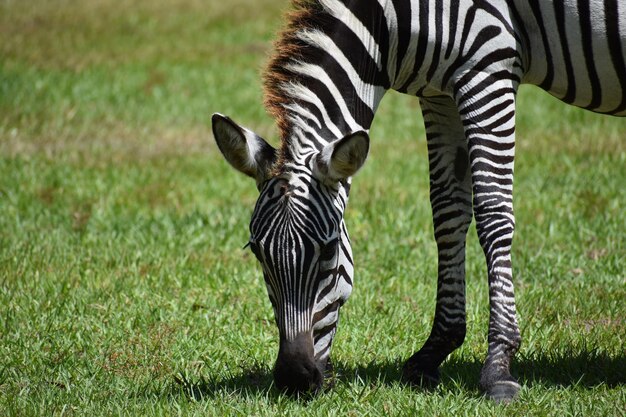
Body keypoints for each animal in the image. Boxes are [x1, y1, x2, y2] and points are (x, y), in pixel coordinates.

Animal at [211, 0, 624, 400]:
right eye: (257, 251)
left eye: (328, 251)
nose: (294, 379)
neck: (389, 22)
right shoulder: (440, 92)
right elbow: (448, 212)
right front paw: (434, 351)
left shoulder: (488, 66)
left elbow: (492, 210)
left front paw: (499, 366)